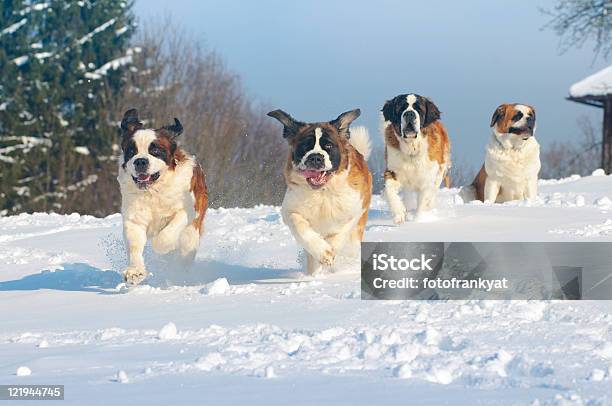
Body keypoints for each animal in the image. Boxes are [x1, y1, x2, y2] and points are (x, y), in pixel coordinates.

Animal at [117, 108, 208, 286]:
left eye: (155, 151)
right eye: (131, 151)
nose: (140, 161)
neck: (154, 191)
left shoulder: (186, 211)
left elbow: (165, 236)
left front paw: (163, 246)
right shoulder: (134, 219)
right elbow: (134, 244)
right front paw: (135, 272)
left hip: (191, 234)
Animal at [268, 108, 372, 274]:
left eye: (328, 146)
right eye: (305, 146)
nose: (316, 157)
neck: (322, 192)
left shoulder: (354, 209)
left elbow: (340, 233)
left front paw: (331, 250)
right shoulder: (290, 210)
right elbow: (299, 225)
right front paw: (323, 253)